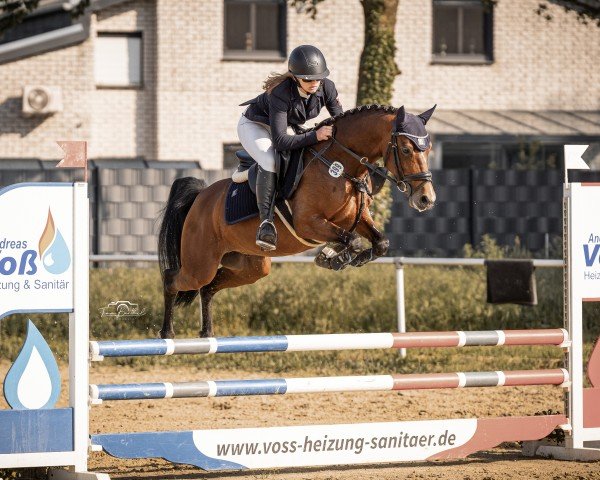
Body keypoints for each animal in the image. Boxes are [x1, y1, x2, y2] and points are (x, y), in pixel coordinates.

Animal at [157, 104, 438, 338]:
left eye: (429, 150)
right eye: (406, 149)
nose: (426, 199)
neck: (341, 166)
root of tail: (200, 197)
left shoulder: (354, 218)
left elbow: (379, 242)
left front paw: (336, 257)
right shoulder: (309, 223)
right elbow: (353, 240)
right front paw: (333, 258)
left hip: (250, 266)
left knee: (209, 288)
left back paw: (207, 334)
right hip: (200, 263)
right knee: (174, 279)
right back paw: (167, 333)